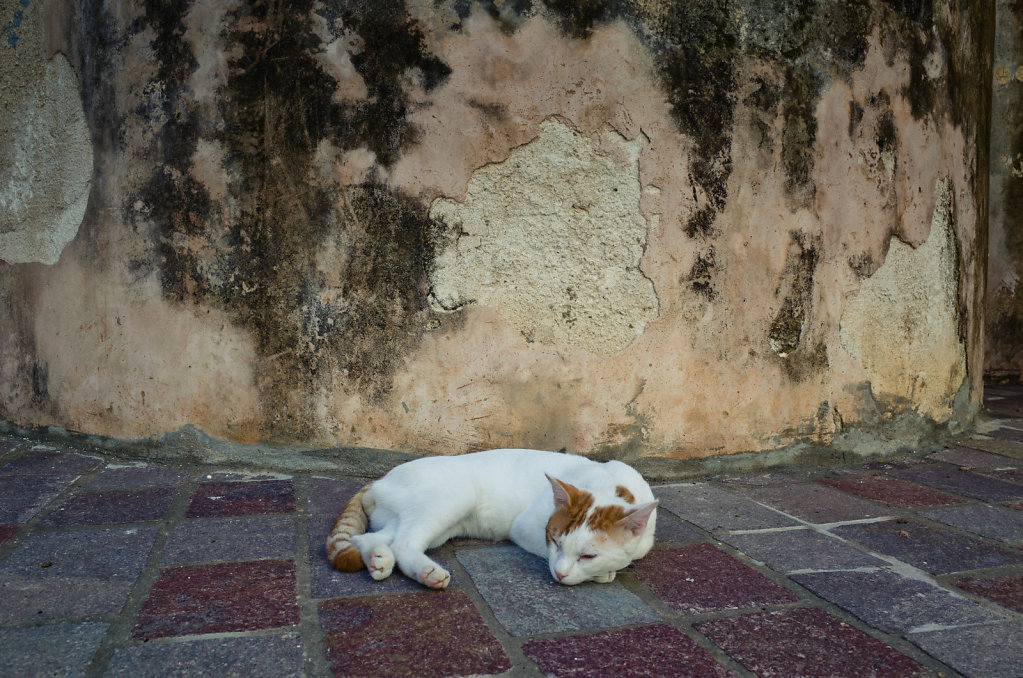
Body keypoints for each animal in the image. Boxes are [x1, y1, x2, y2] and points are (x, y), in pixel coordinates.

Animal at [331, 445, 658, 589]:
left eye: (588, 555)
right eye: (555, 542)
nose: (560, 574)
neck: (610, 484)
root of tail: (378, 480)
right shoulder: (524, 527)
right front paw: (604, 573)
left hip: (424, 522)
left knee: (368, 538)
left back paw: (379, 560)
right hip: (454, 495)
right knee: (403, 543)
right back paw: (427, 573)